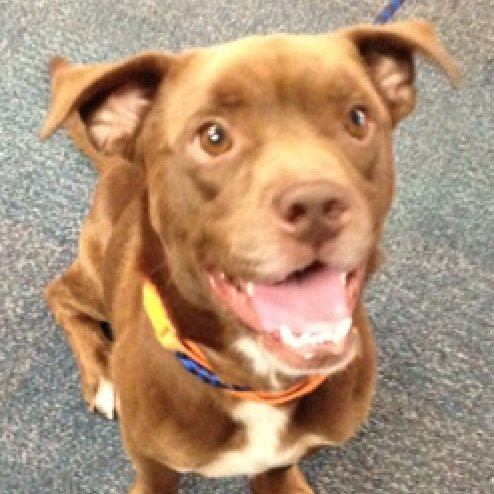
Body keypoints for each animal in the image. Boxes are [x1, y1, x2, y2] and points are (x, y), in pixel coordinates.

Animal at [40, 20, 458, 494]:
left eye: (357, 118)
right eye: (213, 136)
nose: (316, 203)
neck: (259, 384)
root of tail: (116, 162)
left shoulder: (285, 456)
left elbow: (278, 472)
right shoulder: (152, 462)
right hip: (95, 270)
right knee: (58, 293)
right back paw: (102, 375)